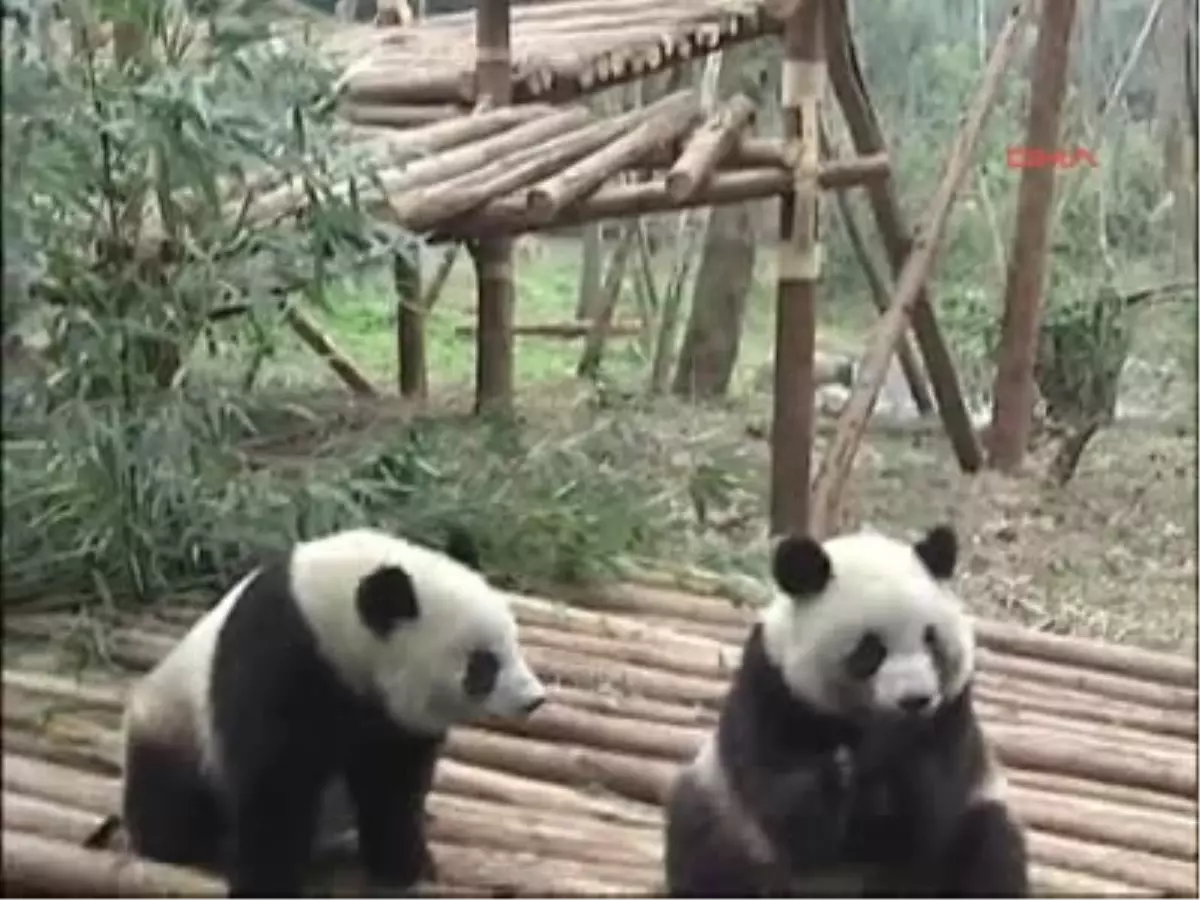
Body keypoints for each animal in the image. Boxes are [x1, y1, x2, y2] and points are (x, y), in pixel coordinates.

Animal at [121, 526, 547, 896]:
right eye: (483, 665)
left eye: (515, 642)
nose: (534, 700)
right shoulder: (281, 653)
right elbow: (274, 776)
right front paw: (268, 878)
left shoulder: (389, 718)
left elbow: (394, 783)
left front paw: (405, 864)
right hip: (173, 722)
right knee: (169, 797)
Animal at [663, 524, 1029, 896]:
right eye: (870, 650)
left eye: (931, 640)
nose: (916, 699)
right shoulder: (771, 689)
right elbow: (780, 800)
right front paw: (840, 770)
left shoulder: (952, 715)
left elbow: (934, 811)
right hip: (727, 809)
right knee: (709, 842)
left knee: (989, 842)